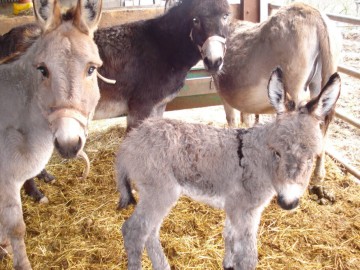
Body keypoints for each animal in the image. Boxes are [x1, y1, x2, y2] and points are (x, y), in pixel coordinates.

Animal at [116, 67, 340, 270]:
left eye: (313, 157)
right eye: (276, 152)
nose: (288, 202)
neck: (259, 160)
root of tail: (130, 140)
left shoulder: (235, 207)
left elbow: (229, 237)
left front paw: (228, 264)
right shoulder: (244, 210)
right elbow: (248, 258)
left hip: (157, 195)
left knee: (149, 233)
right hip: (160, 192)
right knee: (134, 231)